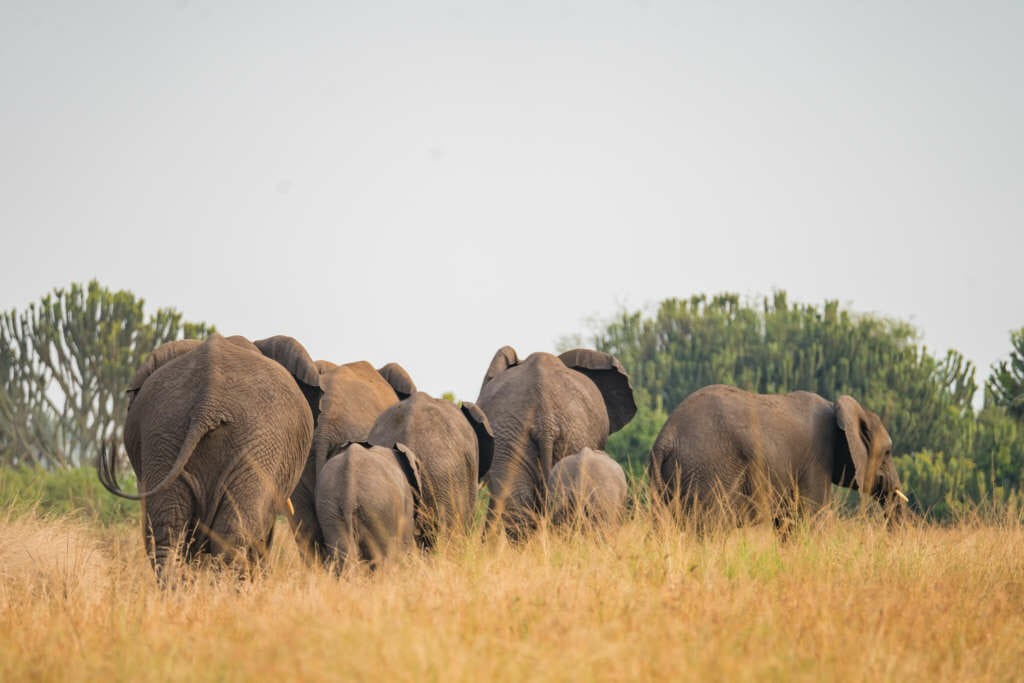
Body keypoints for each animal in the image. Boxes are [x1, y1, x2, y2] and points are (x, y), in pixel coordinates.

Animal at [648, 384, 909, 531]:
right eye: (888, 452)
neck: (836, 407)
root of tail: (665, 437)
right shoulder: (816, 460)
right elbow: (810, 518)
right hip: (708, 471)